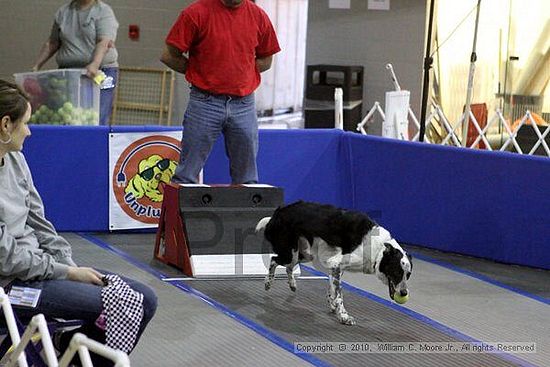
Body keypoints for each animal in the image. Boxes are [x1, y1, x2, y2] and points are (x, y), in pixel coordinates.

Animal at [258, 203, 414, 326]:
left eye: (408, 275)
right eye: (396, 272)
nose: (404, 293)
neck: (379, 249)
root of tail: (277, 212)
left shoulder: (335, 267)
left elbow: (332, 288)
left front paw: (332, 304)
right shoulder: (336, 263)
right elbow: (339, 294)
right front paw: (343, 316)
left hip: (304, 254)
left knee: (289, 267)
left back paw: (292, 284)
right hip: (290, 254)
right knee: (274, 260)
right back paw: (268, 282)